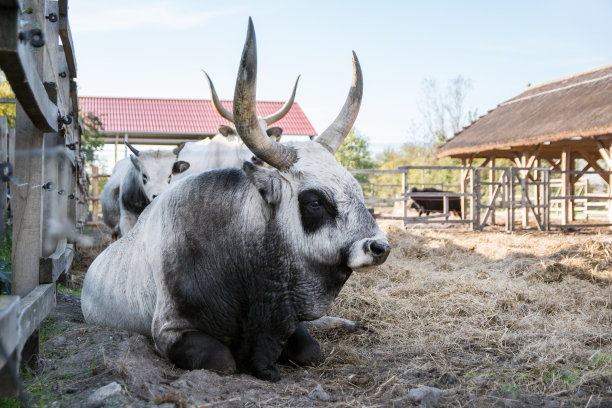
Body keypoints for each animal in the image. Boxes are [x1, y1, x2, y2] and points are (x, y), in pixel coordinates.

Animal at [80, 19, 392, 382]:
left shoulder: (288, 321)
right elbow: (223, 361)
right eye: (314, 201)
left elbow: (310, 350)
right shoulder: (171, 331)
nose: (380, 248)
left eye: (356, 189)